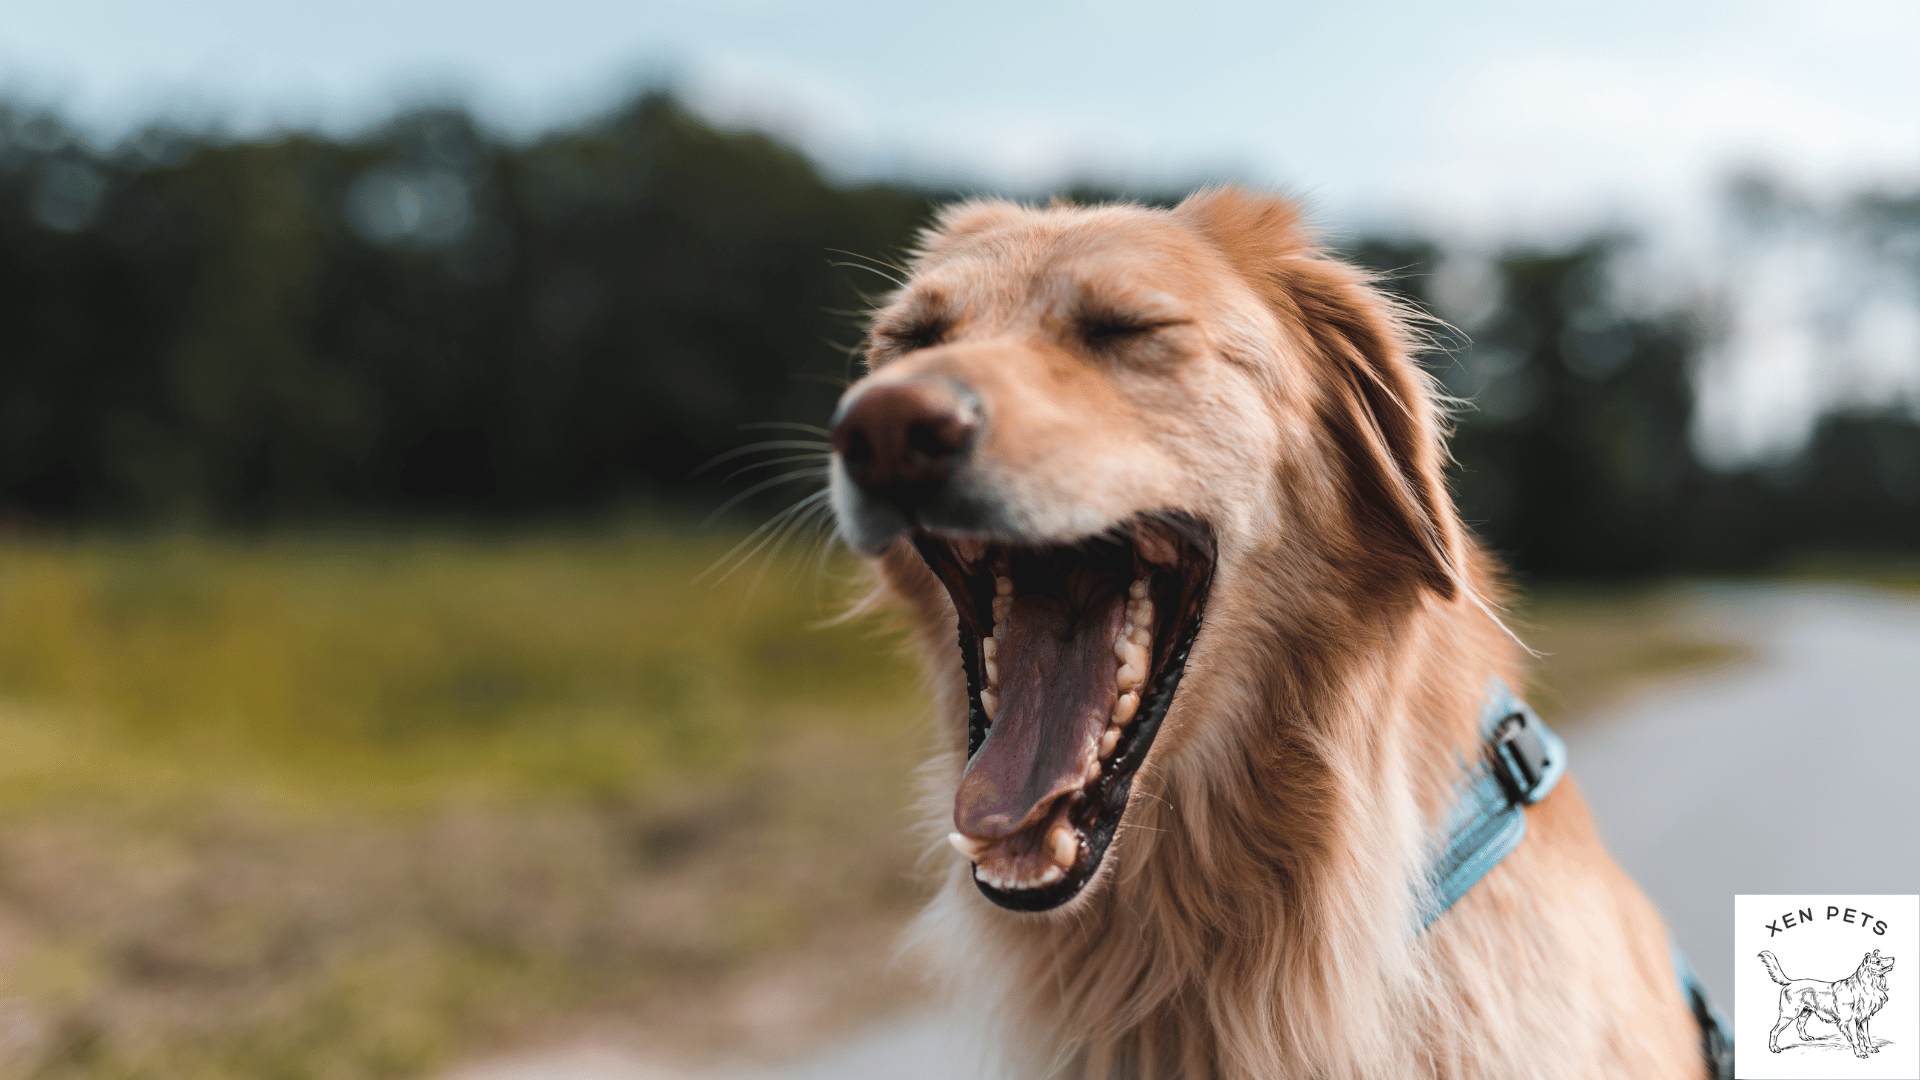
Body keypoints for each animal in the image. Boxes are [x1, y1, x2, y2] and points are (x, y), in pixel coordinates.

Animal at [1758, 945, 1896, 1053]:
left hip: (1805, 1012)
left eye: (1882, 958)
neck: (1864, 986)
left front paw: (1870, 1048)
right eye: (1877, 961)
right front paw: (1860, 1053)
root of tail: (1791, 983)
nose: (1893, 958)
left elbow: (1866, 1036)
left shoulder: (1863, 1019)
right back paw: (1774, 1048)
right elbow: (1856, 1040)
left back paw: (1805, 1037)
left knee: (1799, 1025)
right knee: (1774, 1031)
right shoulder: (1848, 1021)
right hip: (1789, 1015)